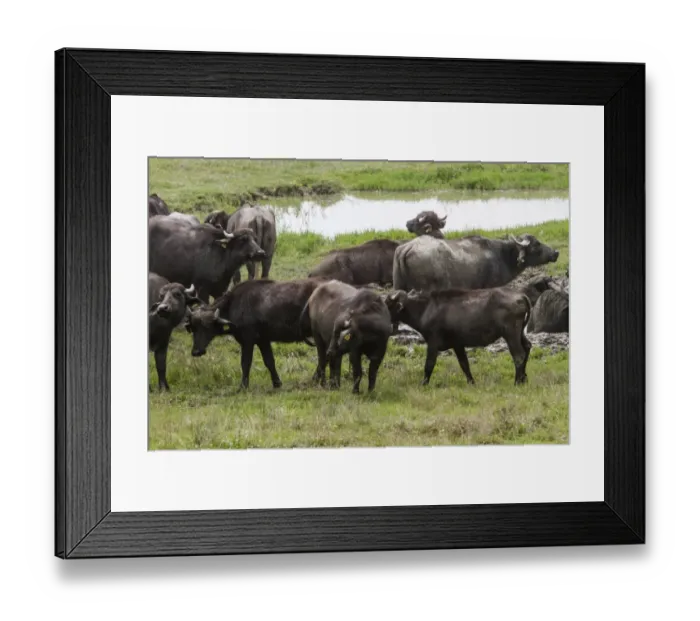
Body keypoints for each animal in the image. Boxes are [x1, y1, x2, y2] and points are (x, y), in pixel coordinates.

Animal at [185, 278, 323, 389]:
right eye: (193, 328)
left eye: (206, 327)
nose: (196, 352)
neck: (233, 304)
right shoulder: (263, 340)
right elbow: (269, 361)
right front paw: (277, 383)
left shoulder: (247, 341)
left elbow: (245, 363)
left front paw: (243, 386)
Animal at [384, 288, 533, 385]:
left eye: (388, 304)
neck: (425, 308)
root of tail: (521, 296)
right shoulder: (458, 344)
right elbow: (464, 364)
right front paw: (471, 382)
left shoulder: (433, 342)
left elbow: (429, 364)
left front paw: (424, 384)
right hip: (519, 333)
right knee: (527, 347)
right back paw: (524, 379)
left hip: (510, 334)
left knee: (518, 355)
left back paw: (517, 381)